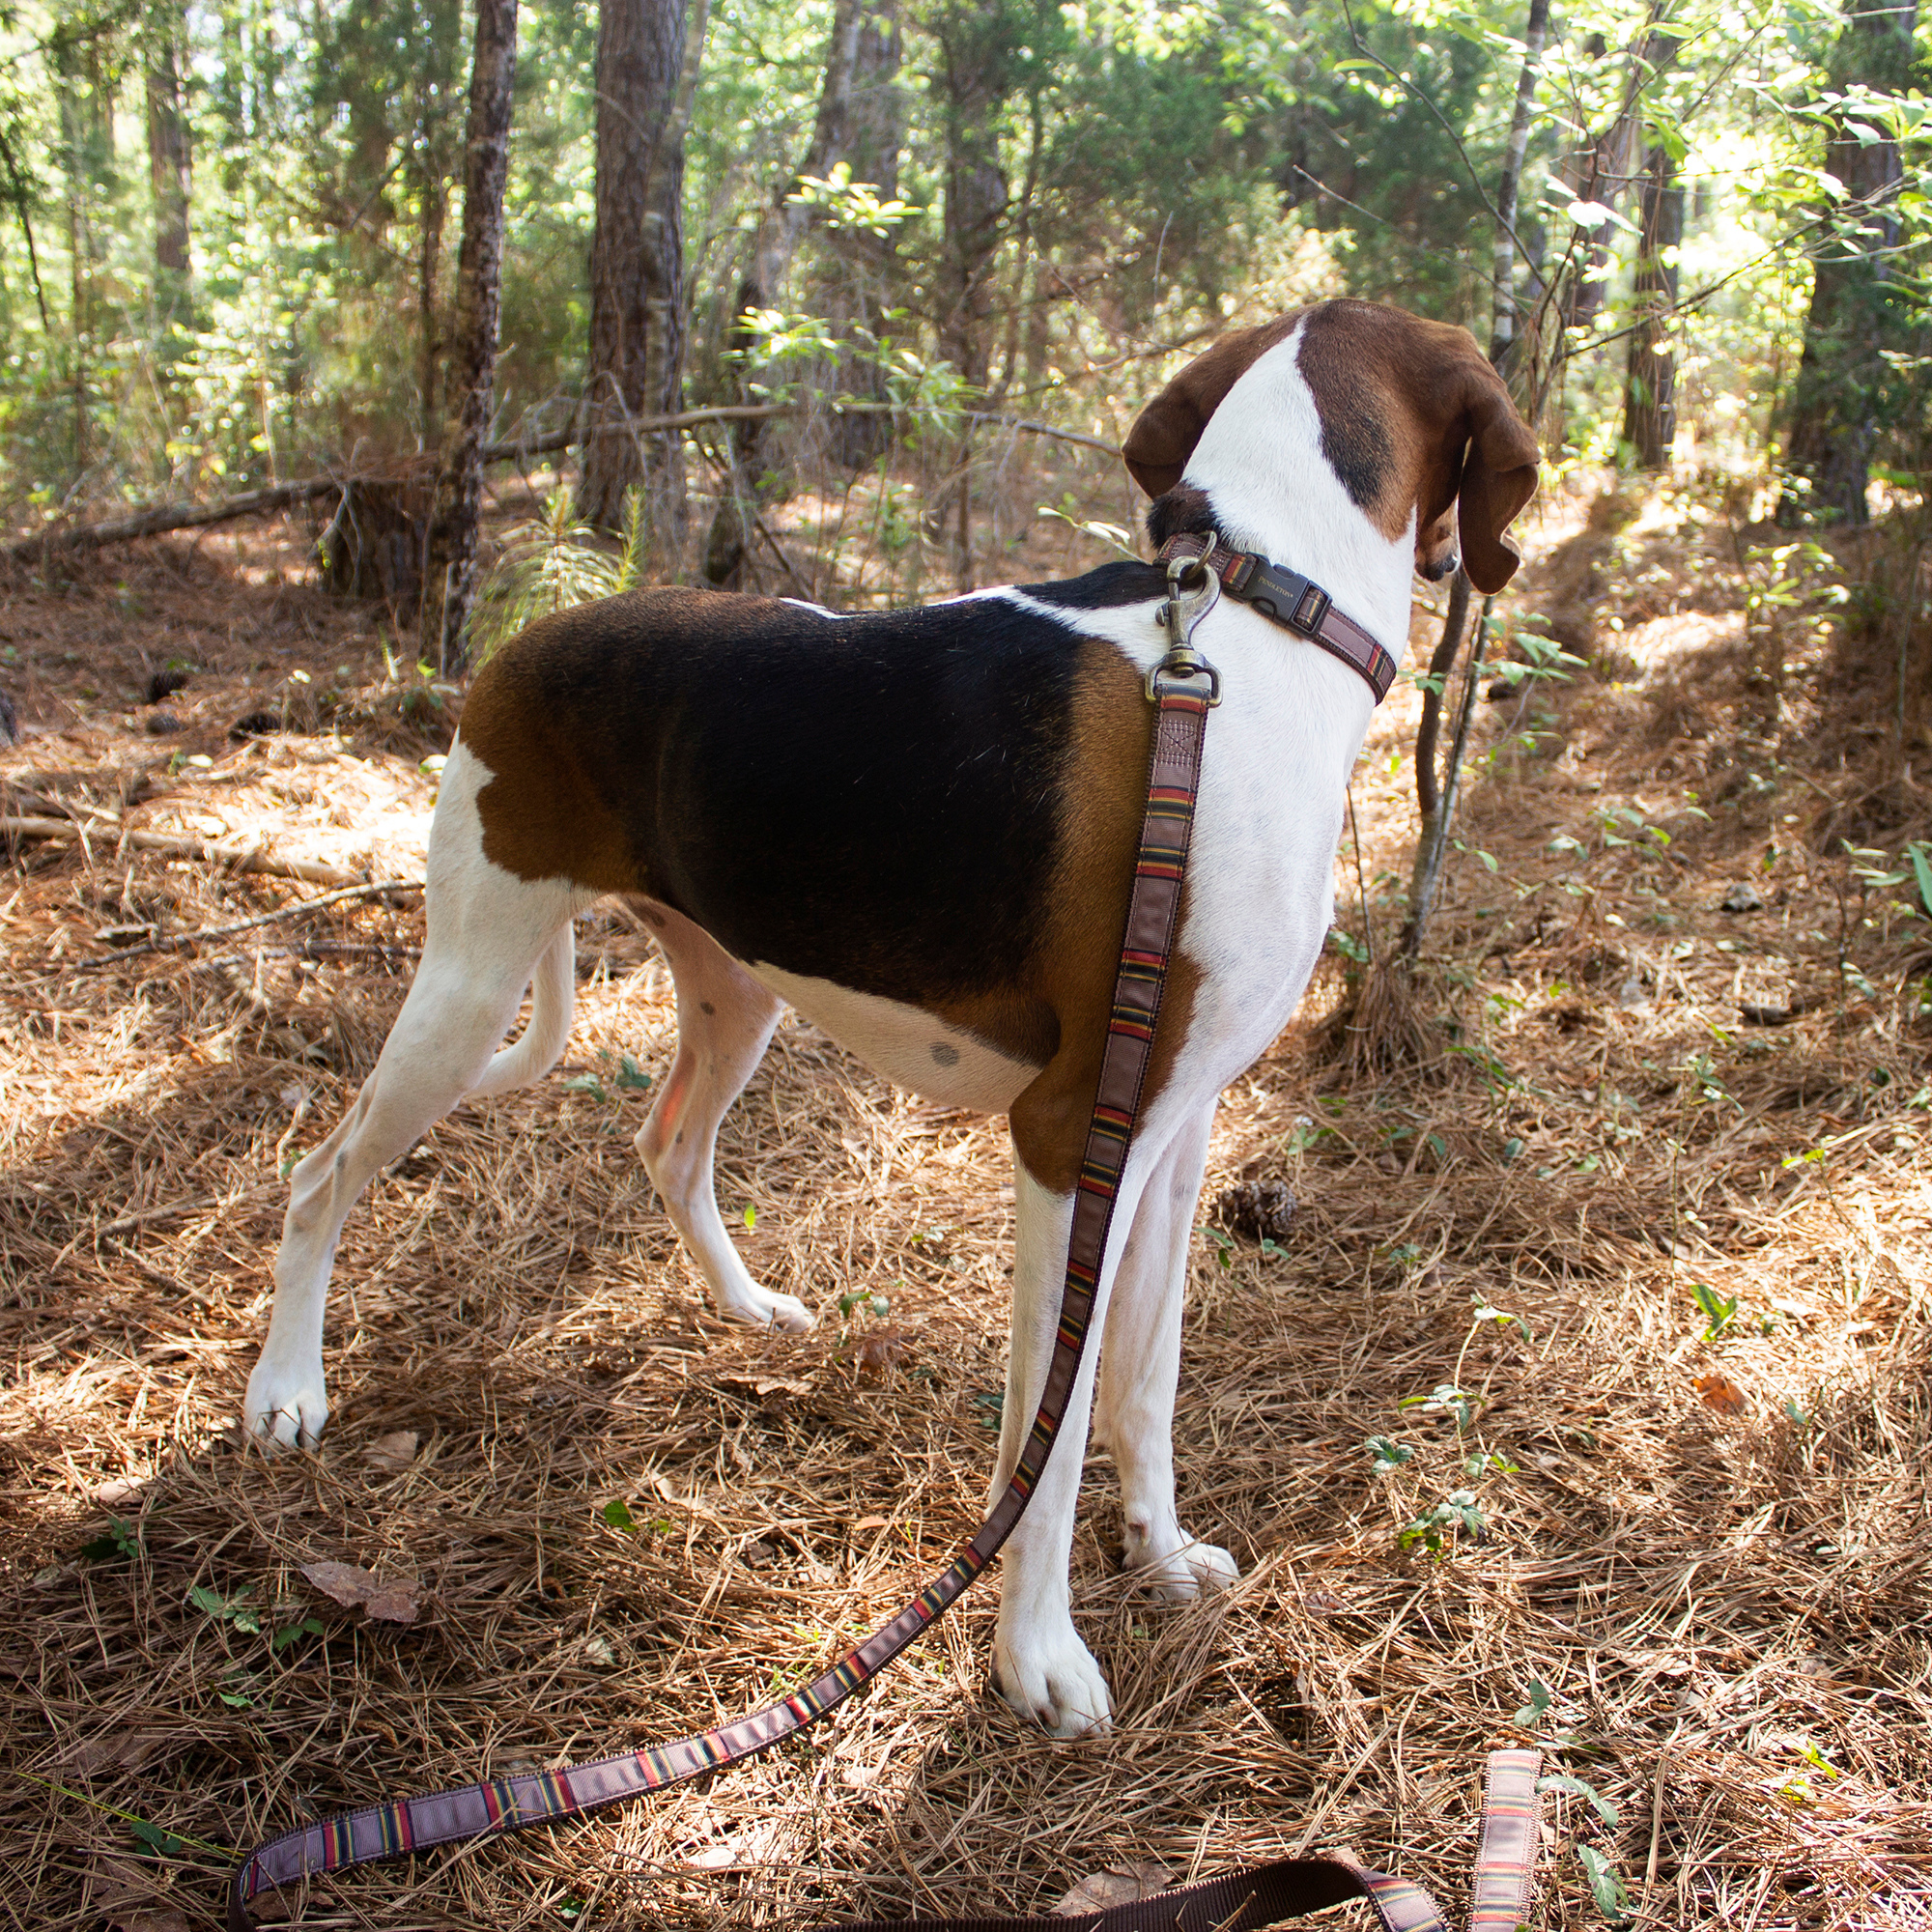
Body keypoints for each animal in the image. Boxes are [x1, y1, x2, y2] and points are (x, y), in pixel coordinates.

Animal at [245, 298, 1538, 1739]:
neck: (1258, 614)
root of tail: (525, 639)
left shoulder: (1176, 1129)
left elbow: (1143, 1382)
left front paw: (1159, 1554)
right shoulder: (1070, 1139)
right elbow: (1052, 1427)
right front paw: (1037, 1657)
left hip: (736, 986)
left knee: (668, 1146)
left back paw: (747, 1309)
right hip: (468, 989)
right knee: (318, 1177)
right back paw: (287, 1392)